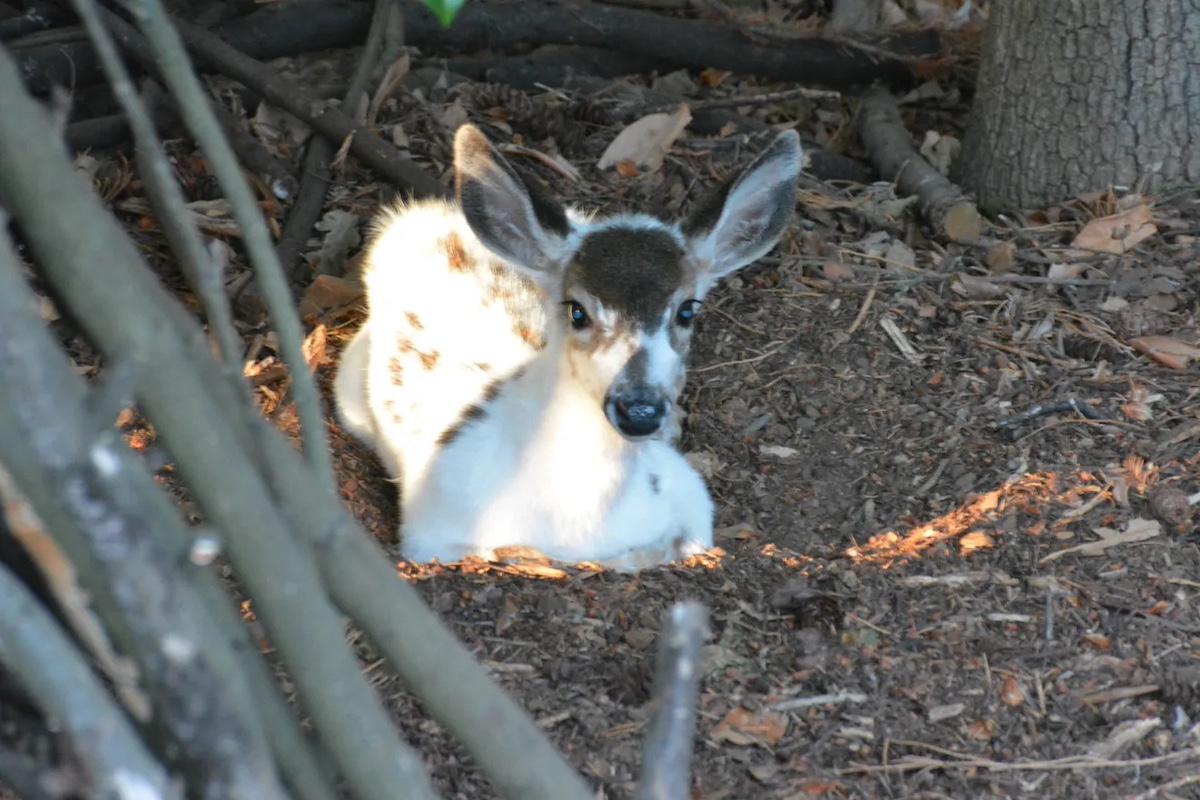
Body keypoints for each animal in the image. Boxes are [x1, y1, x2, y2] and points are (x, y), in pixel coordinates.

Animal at [334, 123, 801, 571]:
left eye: (687, 310)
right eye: (578, 311)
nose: (639, 410)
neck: (578, 524)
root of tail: (423, 220)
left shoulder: (689, 495)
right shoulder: (430, 527)